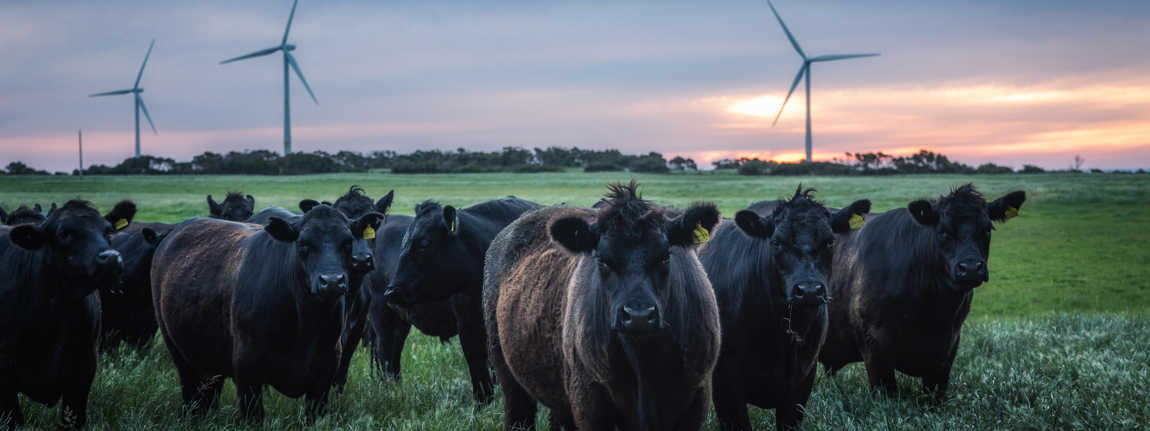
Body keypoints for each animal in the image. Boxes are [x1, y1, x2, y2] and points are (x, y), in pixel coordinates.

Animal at [151, 203, 384, 422]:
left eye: (347, 242)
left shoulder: (326, 371)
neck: (305, 323)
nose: (332, 281)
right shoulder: (247, 370)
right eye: (303, 244)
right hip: (178, 352)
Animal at [382, 196, 540, 404]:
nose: (392, 291)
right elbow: (477, 367)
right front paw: (483, 403)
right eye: (403, 244)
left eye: (424, 245)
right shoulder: (468, 325)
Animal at [484, 181, 722, 431]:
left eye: (665, 256)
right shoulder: (589, 403)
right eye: (603, 260)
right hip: (506, 372)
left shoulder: (697, 399)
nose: (638, 315)